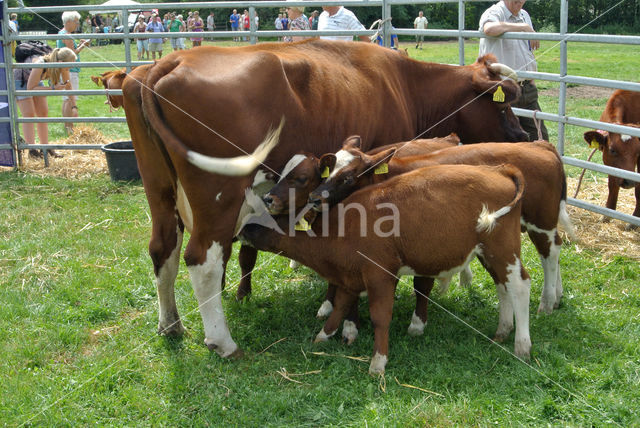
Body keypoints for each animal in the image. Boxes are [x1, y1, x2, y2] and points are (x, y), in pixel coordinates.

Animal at [240, 164, 528, 374]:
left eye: (267, 221)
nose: (241, 230)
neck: (340, 230)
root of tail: (498, 170)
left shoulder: (379, 275)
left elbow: (380, 317)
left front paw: (378, 362)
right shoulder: (349, 277)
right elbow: (341, 306)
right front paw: (322, 337)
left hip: (503, 248)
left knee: (520, 286)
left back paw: (522, 345)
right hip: (489, 252)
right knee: (503, 287)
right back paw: (503, 330)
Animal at [584, 88, 640, 227]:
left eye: (638, 151)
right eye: (612, 150)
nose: (629, 182)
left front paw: (634, 221)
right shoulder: (609, 162)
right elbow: (612, 184)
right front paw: (607, 215)